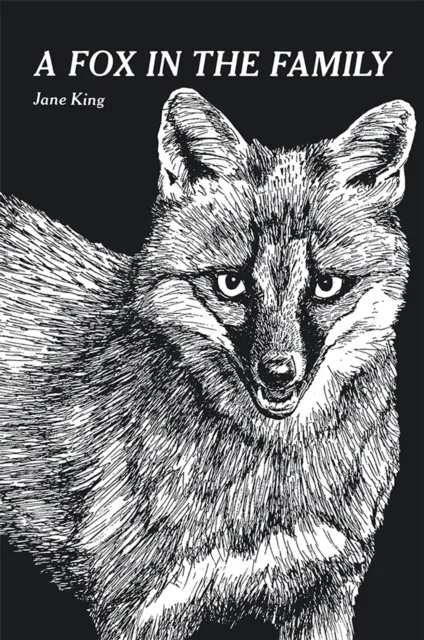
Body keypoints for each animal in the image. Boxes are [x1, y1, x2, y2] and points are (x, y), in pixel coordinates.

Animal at [0, 89, 416, 640]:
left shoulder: (327, 593)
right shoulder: (143, 612)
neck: (271, 487)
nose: (278, 373)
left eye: (326, 285)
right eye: (231, 283)